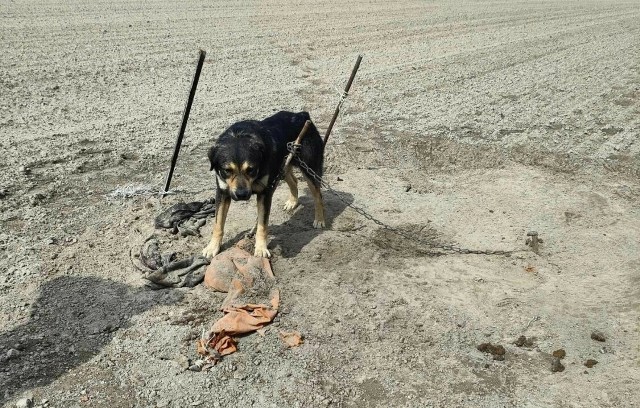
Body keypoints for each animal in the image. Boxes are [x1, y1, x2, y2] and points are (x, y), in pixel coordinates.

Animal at [202, 111, 324, 258]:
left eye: (251, 169)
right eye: (227, 170)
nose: (241, 195)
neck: (239, 135)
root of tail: (302, 114)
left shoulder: (265, 193)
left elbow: (262, 225)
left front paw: (260, 249)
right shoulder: (222, 192)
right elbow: (218, 223)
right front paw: (212, 247)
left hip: (309, 169)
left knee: (318, 195)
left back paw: (320, 219)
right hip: (282, 167)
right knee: (294, 181)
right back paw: (292, 202)